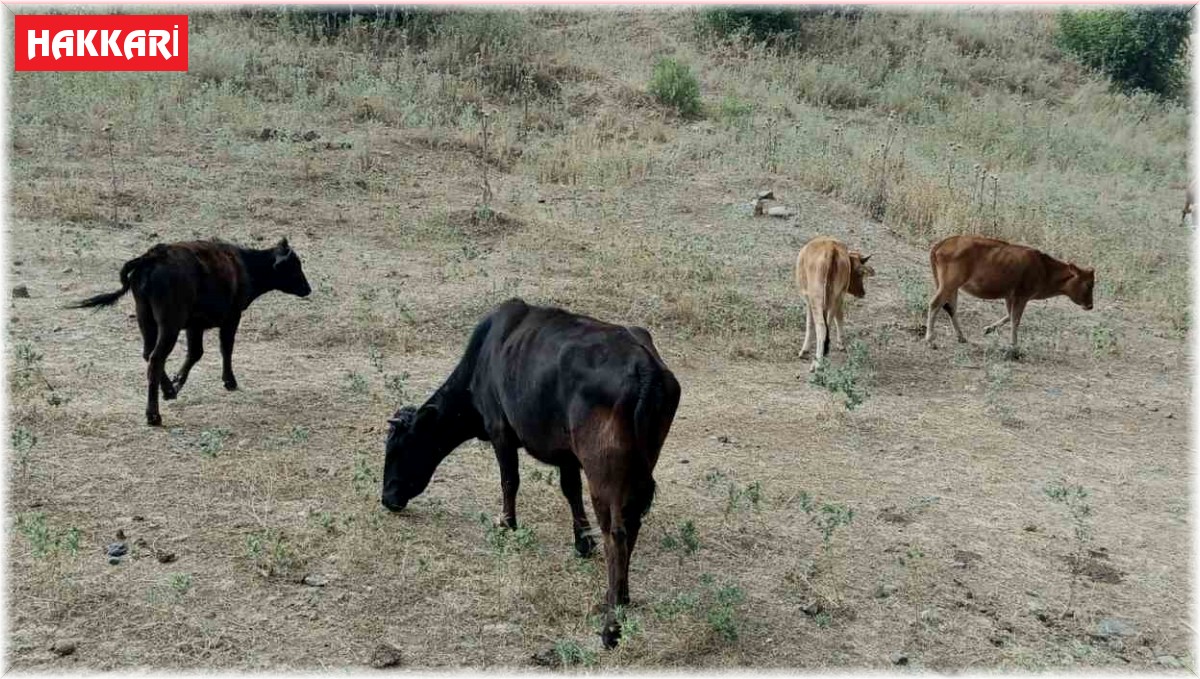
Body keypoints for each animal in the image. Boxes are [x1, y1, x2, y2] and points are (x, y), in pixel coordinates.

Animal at [68, 239, 314, 427]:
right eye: (295, 266)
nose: (307, 289)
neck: (243, 264)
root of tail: (153, 257)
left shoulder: (194, 326)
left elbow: (196, 353)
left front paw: (177, 381)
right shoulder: (231, 318)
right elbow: (225, 348)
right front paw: (230, 382)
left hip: (146, 319)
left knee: (148, 354)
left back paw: (168, 391)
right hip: (169, 325)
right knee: (156, 358)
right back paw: (154, 416)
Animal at [384, 301, 686, 652]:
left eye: (397, 448)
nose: (387, 498)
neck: (483, 358)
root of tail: (644, 366)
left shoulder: (499, 429)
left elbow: (509, 480)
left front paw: (507, 525)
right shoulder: (566, 453)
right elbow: (570, 490)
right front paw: (582, 542)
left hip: (603, 472)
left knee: (617, 535)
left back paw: (611, 625)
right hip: (639, 466)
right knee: (634, 521)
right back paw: (620, 596)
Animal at [792, 238, 878, 371]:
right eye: (858, 273)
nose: (862, 292)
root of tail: (831, 249)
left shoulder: (808, 300)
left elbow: (810, 324)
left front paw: (804, 351)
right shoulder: (838, 298)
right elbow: (839, 318)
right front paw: (840, 344)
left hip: (817, 298)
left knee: (822, 327)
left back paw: (818, 362)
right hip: (834, 297)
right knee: (829, 323)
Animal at [926, 233, 1099, 355]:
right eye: (1089, 284)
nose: (1090, 305)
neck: (1045, 269)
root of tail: (942, 244)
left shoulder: (1010, 297)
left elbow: (1009, 316)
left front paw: (989, 329)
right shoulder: (1022, 297)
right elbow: (1015, 320)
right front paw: (1014, 346)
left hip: (952, 287)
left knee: (951, 307)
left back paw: (961, 337)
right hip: (949, 284)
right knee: (935, 304)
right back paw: (930, 340)